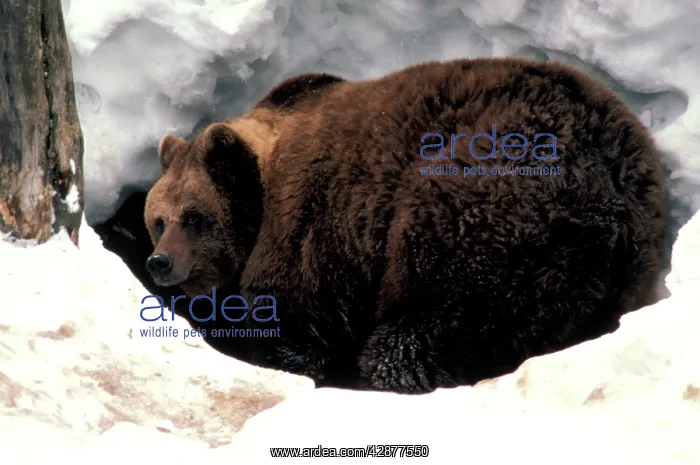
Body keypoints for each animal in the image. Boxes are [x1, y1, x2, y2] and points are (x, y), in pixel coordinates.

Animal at [142, 57, 668, 394]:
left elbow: (294, 324)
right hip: (616, 262)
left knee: (421, 324)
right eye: (157, 220)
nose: (159, 262)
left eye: (194, 217)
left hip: (476, 210)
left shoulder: (311, 228)